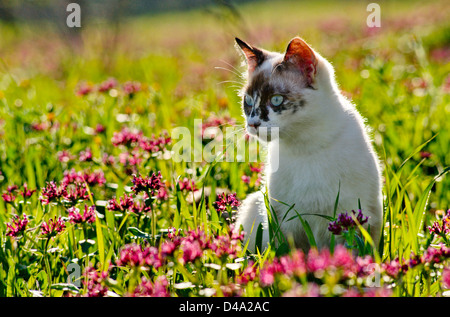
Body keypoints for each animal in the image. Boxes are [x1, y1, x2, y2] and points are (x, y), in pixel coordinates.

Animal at [236, 35, 384, 251]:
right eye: (247, 101)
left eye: (276, 100)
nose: (252, 124)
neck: (304, 145)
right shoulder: (283, 221)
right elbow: (289, 256)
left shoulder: (352, 217)